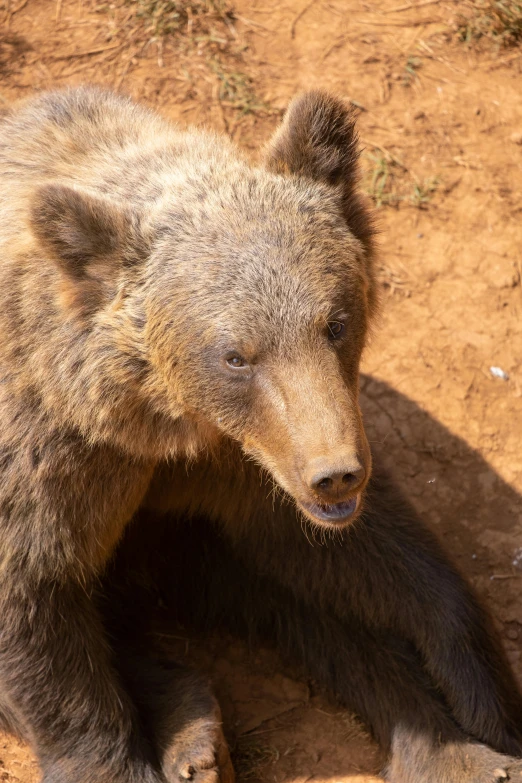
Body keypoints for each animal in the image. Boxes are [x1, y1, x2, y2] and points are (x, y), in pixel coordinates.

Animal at [0, 86, 516, 783]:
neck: (155, 418)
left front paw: (481, 692)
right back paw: (192, 734)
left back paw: (451, 753)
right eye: (236, 356)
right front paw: (109, 762)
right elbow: (37, 607)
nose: (336, 475)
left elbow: (369, 554)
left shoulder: (247, 459)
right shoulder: (58, 465)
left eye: (336, 322)